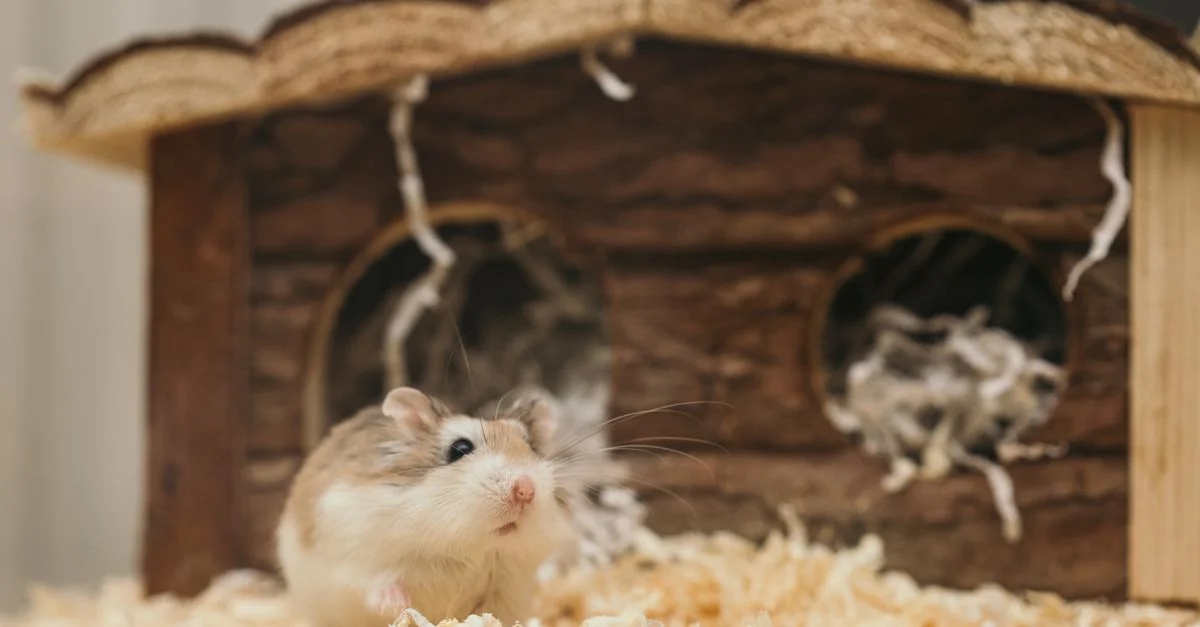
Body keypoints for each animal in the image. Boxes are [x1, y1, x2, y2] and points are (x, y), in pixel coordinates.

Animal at [276, 386, 575, 627]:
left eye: (530, 447)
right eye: (460, 449)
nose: (525, 489)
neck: (468, 546)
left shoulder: (507, 590)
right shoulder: (354, 558)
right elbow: (375, 584)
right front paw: (401, 606)